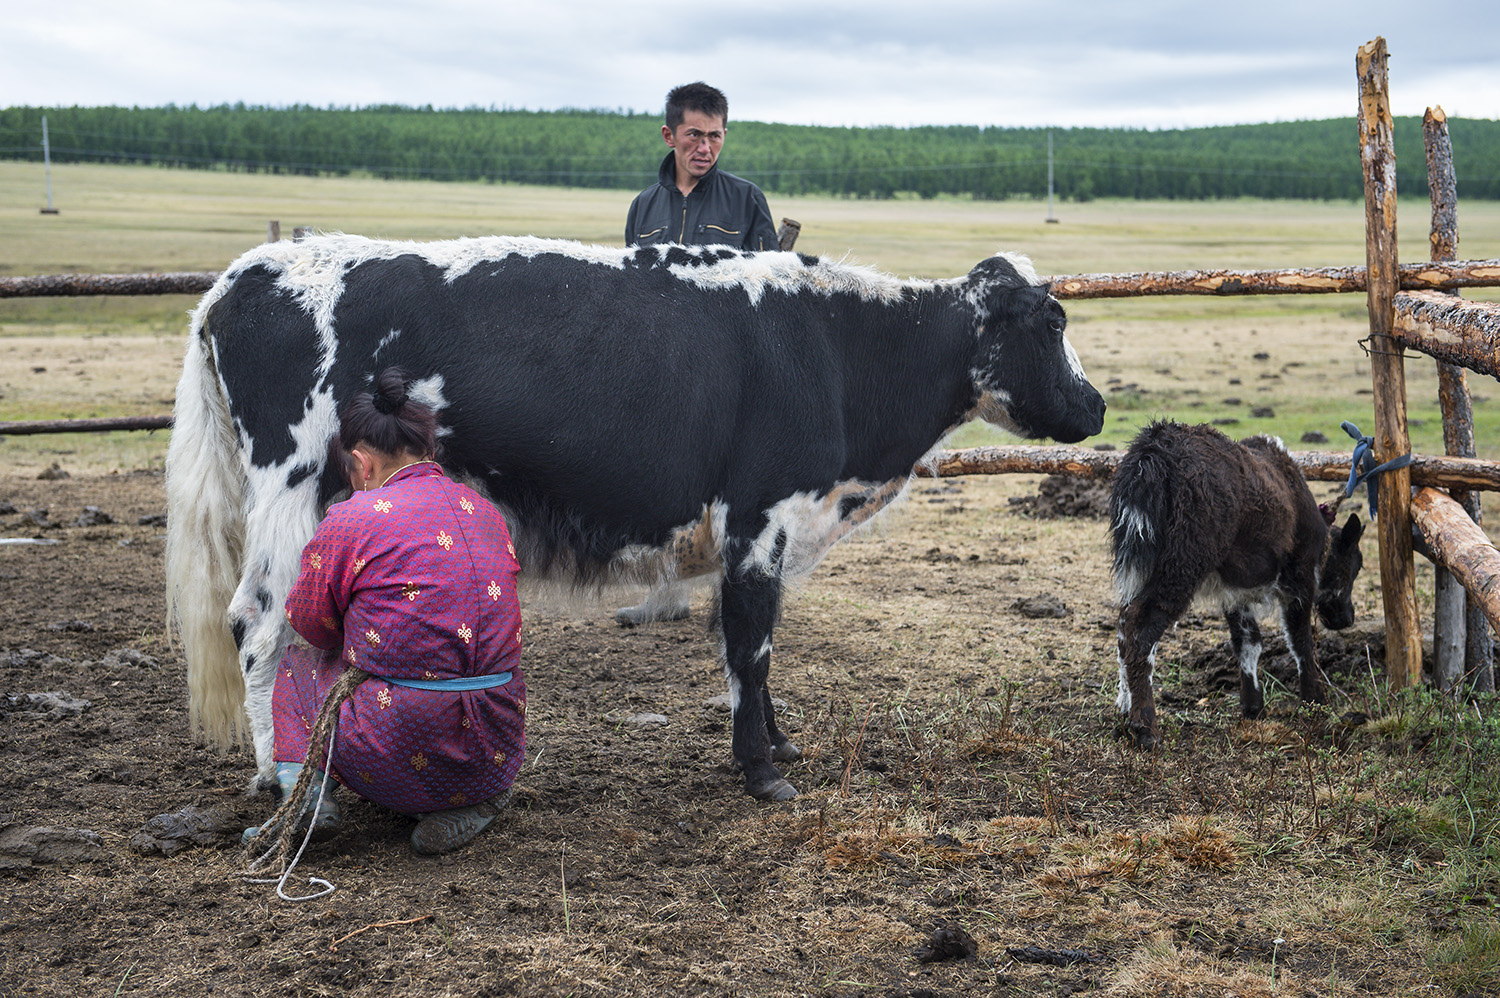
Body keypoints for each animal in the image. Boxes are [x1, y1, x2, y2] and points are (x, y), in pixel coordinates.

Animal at [167, 235, 1104, 804]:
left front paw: (779, 747)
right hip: (291, 488)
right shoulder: (759, 519)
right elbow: (750, 647)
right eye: (1054, 318)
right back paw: (279, 774)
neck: (835, 344)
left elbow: (759, 646)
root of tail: (241, 275)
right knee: (257, 622)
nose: (1094, 406)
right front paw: (760, 770)